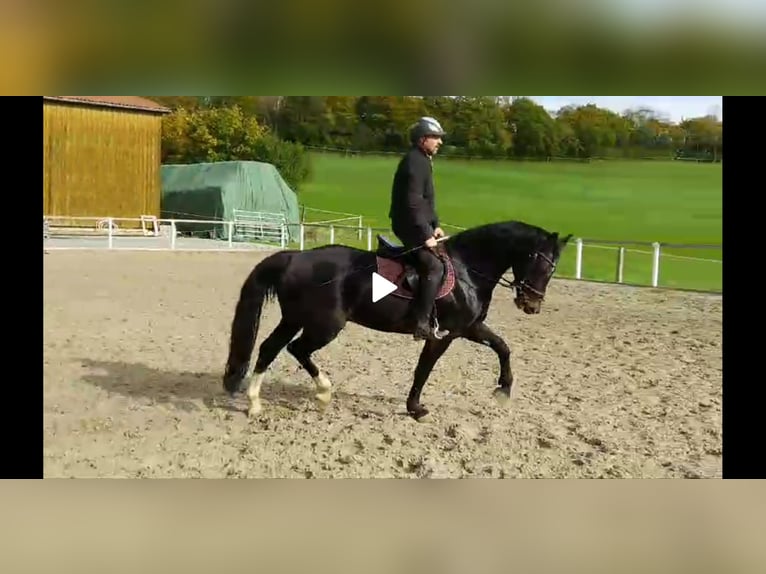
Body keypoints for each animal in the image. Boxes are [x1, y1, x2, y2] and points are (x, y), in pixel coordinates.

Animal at [222, 218, 568, 420]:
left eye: (553, 269)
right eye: (541, 263)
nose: (531, 305)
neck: (468, 268)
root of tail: (295, 256)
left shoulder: (469, 328)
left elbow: (502, 347)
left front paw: (503, 391)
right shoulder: (444, 334)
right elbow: (423, 370)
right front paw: (415, 409)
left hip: (294, 318)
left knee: (269, 348)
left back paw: (255, 403)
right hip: (324, 325)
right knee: (297, 349)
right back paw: (323, 393)